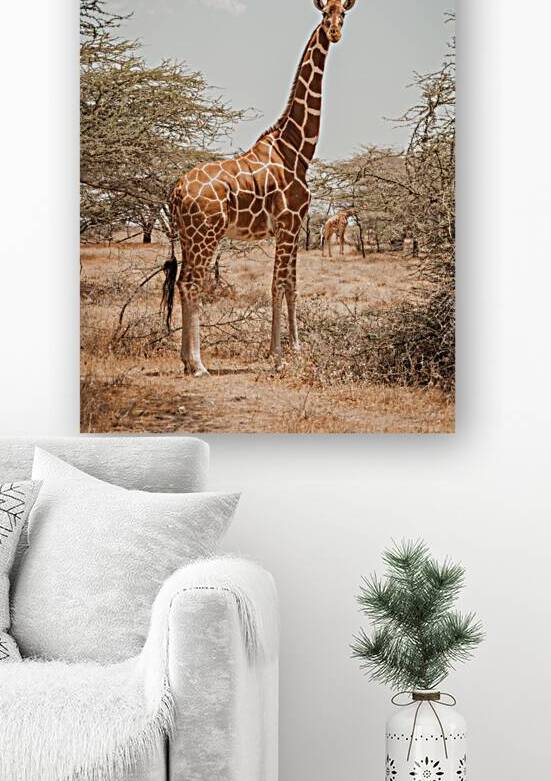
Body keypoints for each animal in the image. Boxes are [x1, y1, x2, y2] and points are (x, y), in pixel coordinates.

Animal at [162, 0, 358, 377]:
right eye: (325, 13)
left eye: (344, 13)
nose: (335, 32)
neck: (297, 148)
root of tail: (176, 191)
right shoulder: (287, 223)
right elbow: (277, 284)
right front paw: (276, 354)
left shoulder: (294, 227)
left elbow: (292, 285)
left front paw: (296, 348)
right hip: (206, 234)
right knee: (192, 283)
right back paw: (198, 364)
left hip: (188, 235)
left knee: (182, 282)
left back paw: (185, 360)